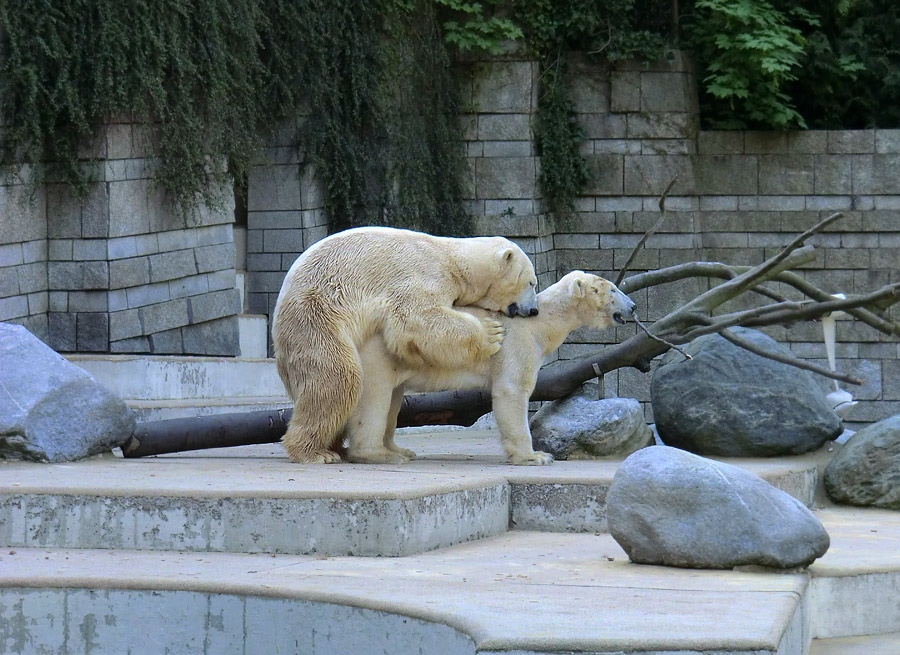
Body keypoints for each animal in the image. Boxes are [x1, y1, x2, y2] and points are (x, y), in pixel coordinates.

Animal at [274, 228, 536, 464]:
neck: (454, 260)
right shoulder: (423, 277)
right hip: (315, 314)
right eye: (532, 282)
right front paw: (491, 332)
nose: (533, 309)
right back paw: (316, 453)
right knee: (337, 378)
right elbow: (418, 318)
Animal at [356, 272, 636, 466]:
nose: (633, 306)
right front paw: (536, 456)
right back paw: (378, 454)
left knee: (393, 398)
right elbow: (512, 390)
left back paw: (399, 450)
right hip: (379, 352)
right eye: (613, 289)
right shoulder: (516, 343)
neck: (541, 323)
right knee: (376, 396)